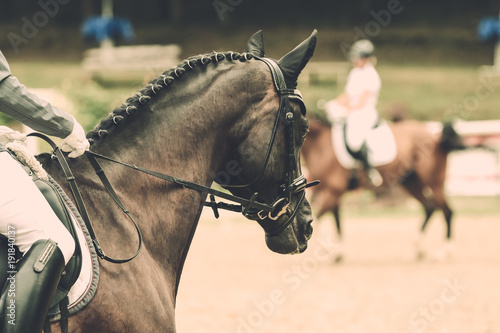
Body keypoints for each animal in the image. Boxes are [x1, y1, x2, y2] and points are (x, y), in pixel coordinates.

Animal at [302, 115, 466, 260]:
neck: (320, 146)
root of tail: (435, 137)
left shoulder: (333, 191)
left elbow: (319, 218)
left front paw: (329, 249)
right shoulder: (331, 192)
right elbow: (336, 222)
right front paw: (337, 253)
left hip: (434, 183)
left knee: (447, 211)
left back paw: (444, 252)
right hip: (411, 183)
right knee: (430, 207)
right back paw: (418, 248)